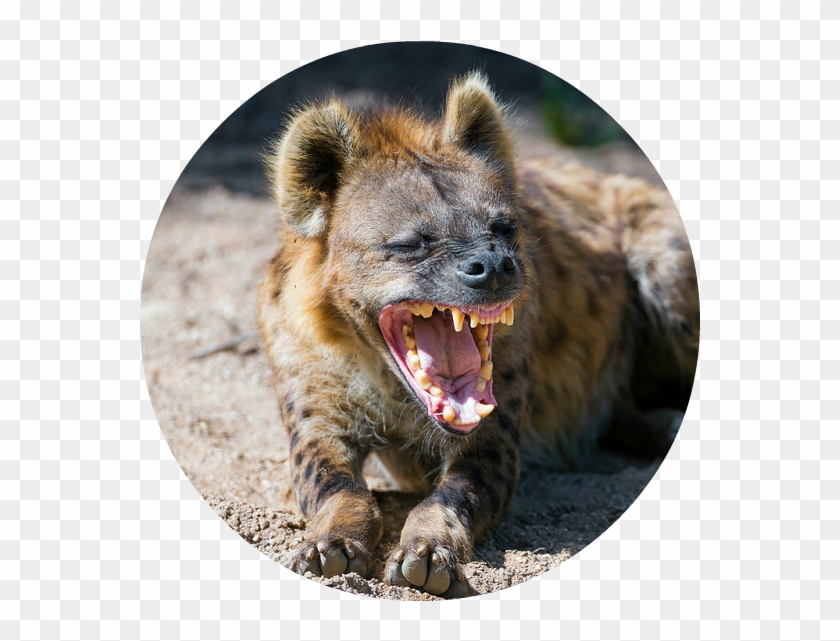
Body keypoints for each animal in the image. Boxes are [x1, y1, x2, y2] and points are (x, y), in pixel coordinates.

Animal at [258, 72, 699, 598]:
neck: (385, 383)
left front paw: (428, 554)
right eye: (411, 243)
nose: (493, 265)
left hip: (664, 260)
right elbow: (330, 482)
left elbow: (459, 490)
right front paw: (330, 547)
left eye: (504, 227)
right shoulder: (309, 389)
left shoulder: (498, 415)